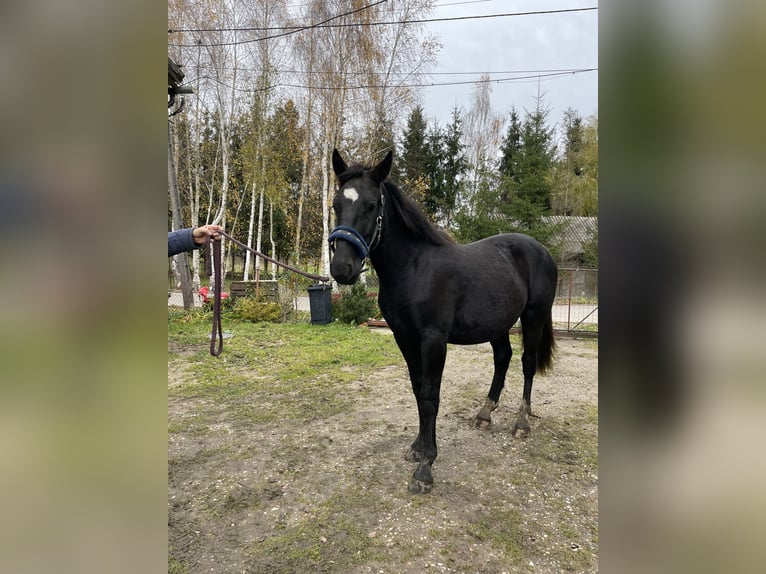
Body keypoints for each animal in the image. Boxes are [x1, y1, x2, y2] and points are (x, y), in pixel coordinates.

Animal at [328, 149, 558, 494]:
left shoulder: (433, 340)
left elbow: (430, 396)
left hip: (534, 317)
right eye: (336, 204)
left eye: (371, 205)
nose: (342, 268)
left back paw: (522, 422)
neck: (414, 267)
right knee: (502, 358)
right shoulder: (404, 338)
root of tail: (542, 251)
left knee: (527, 364)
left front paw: (426, 467)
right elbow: (417, 389)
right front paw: (417, 448)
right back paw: (485, 414)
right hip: (498, 324)